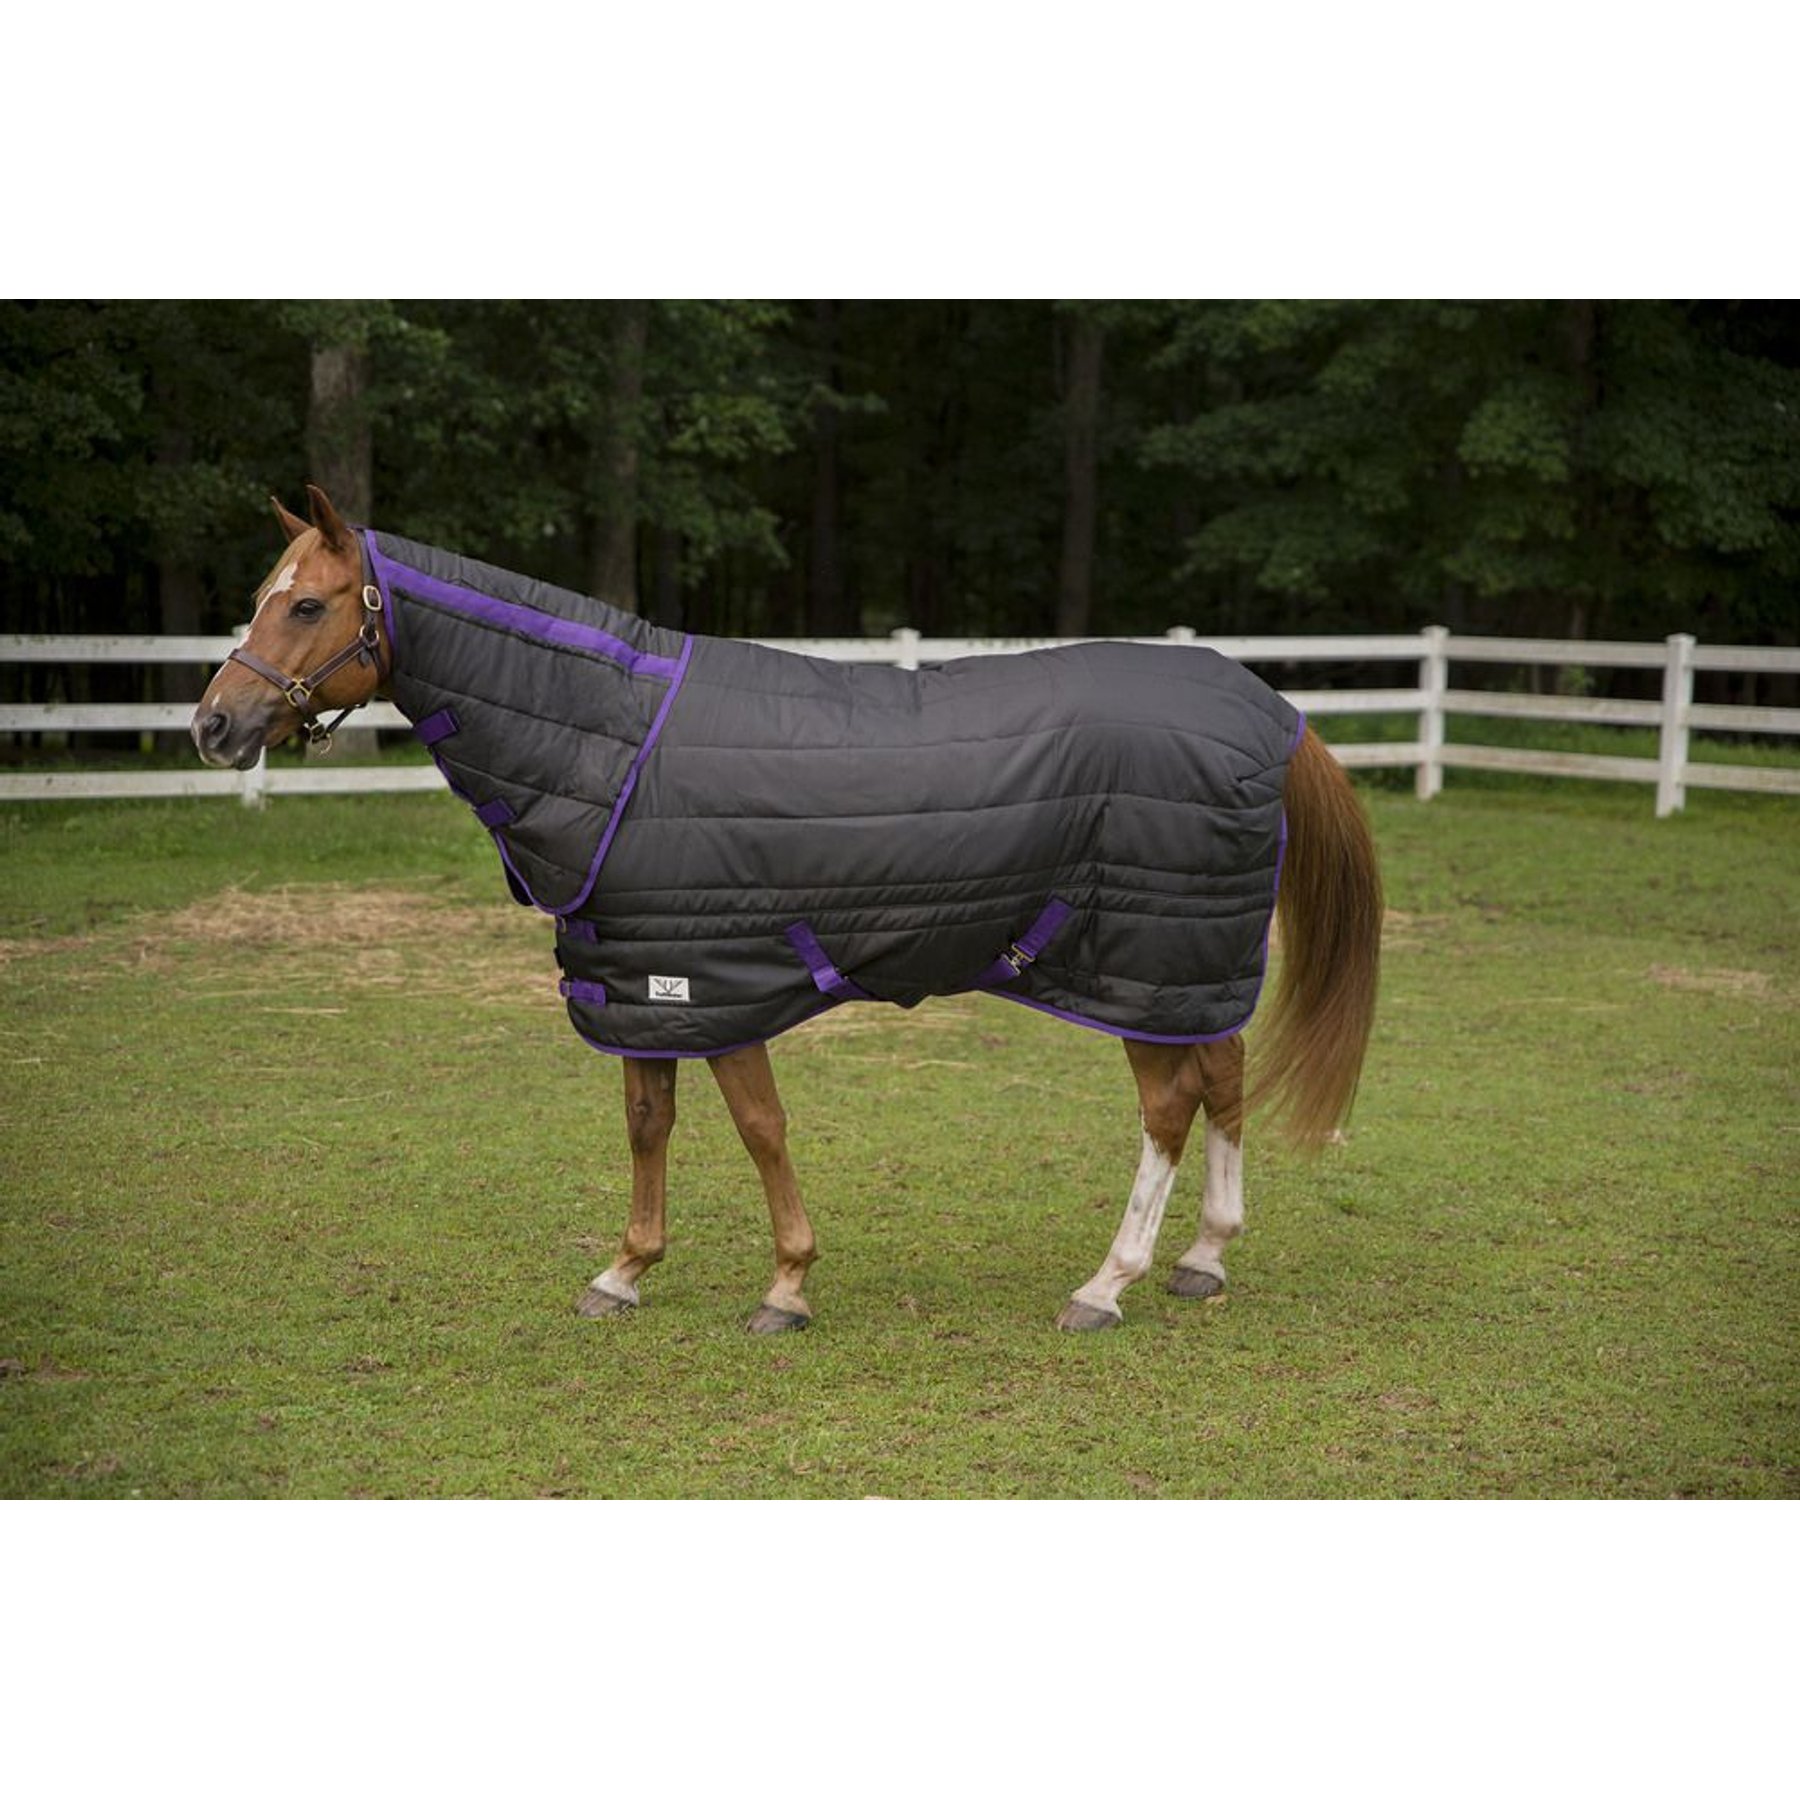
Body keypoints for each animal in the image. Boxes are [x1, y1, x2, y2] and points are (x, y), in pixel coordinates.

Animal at [193, 485, 1381, 1334]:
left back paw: (1109, 1282)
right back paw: (1204, 1258)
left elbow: (760, 1128)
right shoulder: (644, 982)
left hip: (1139, 962)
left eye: (307, 604)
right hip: (1188, 967)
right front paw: (626, 1271)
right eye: (260, 596)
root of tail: (1271, 710)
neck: (614, 741)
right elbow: (648, 1121)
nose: (214, 725)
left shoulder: (717, 980)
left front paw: (788, 1285)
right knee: (1224, 1077)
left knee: (1171, 1106)